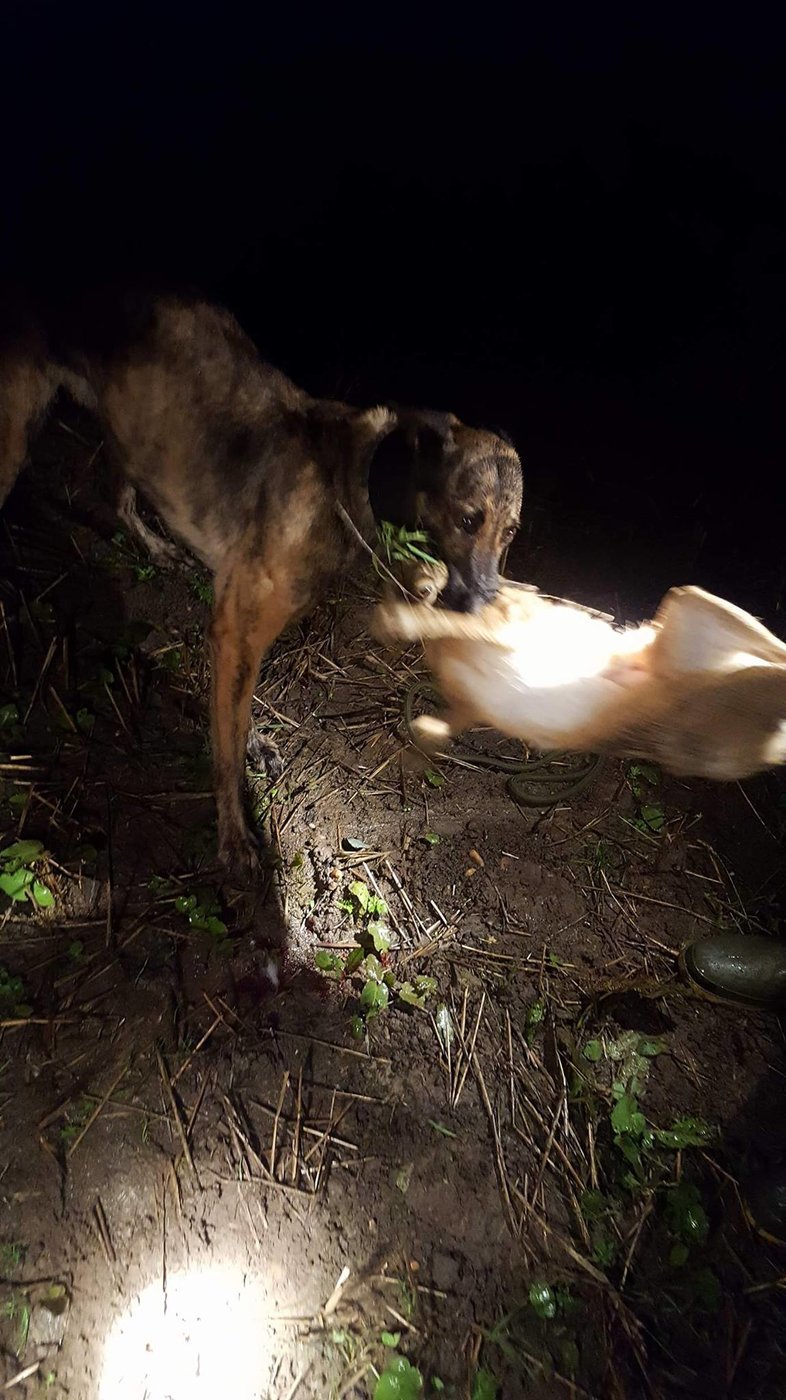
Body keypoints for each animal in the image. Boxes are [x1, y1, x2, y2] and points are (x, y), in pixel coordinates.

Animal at [3, 289, 524, 879]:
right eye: (467, 519)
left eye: (511, 531)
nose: (484, 606)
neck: (345, 477)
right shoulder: (234, 630)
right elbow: (225, 749)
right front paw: (234, 836)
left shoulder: (243, 633)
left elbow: (238, 710)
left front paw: (252, 744)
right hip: (15, 433)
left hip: (130, 432)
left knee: (118, 493)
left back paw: (155, 546)